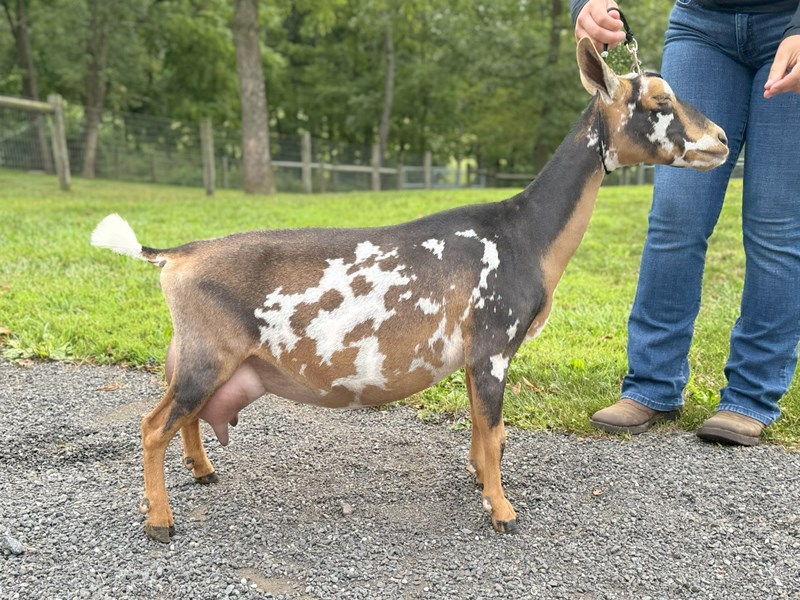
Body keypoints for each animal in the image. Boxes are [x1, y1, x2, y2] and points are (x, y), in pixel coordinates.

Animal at [90, 37, 728, 544]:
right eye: (659, 102)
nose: (721, 139)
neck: (523, 231)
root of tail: (177, 255)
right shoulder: (491, 346)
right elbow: (496, 432)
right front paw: (502, 511)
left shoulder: (476, 356)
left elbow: (481, 431)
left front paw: (479, 481)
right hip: (208, 354)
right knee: (152, 425)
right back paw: (160, 522)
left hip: (198, 357)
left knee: (183, 416)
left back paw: (201, 472)